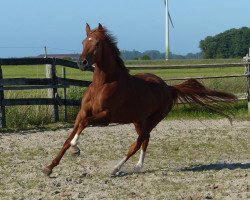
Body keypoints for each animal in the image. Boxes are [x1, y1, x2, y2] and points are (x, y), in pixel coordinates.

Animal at [42, 23, 236, 176]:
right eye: (83, 42)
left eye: (96, 43)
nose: (81, 63)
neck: (103, 84)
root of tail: (169, 88)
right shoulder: (82, 112)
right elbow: (69, 136)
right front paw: (49, 167)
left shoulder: (105, 116)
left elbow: (83, 125)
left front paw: (76, 147)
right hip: (138, 120)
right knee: (145, 140)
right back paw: (137, 166)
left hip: (153, 119)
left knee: (137, 143)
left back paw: (116, 169)